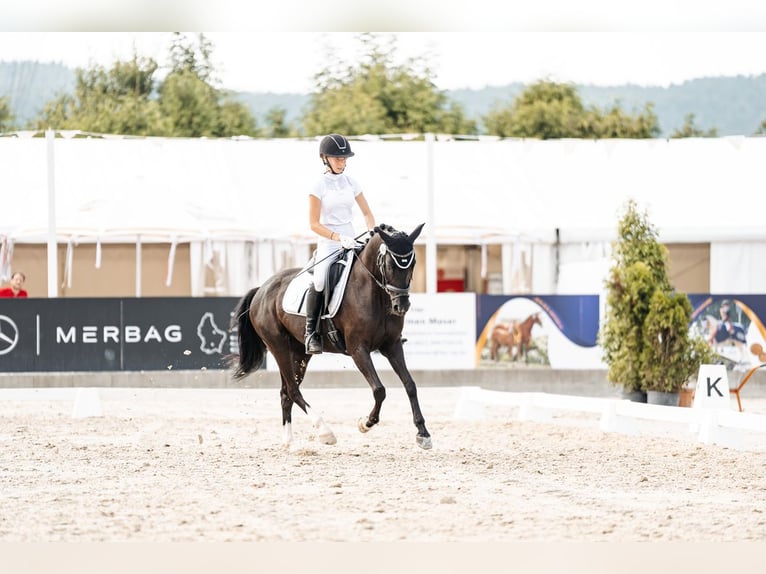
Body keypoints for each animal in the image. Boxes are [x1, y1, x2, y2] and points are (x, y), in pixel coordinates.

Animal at [228, 223, 432, 452]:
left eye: (412, 263)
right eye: (389, 264)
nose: (401, 306)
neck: (375, 293)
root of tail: (261, 289)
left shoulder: (393, 346)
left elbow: (410, 385)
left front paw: (423, 433)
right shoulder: (358, 349)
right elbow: (379, 390)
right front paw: (366, 423)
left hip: (299, 352)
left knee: (286, 393)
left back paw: (290, 442)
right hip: (277, 345)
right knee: (293, 390)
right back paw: (325, 432)